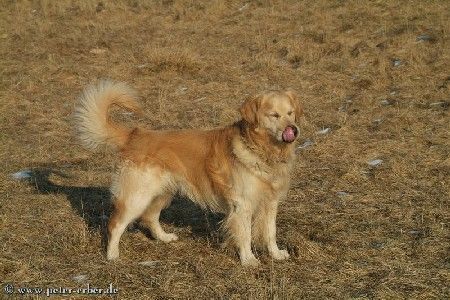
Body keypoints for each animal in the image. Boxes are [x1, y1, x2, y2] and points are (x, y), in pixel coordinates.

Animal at [74, 80, 302, 264]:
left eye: (290, 113)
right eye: (274, 115)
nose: (293, 130)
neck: (262, 149)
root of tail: (134, 135)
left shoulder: (271, 201)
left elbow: (270, 232)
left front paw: (276, 254)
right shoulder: (242, 204)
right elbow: (245, 235)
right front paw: (248, 260)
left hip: (162, 192)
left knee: (150, 217)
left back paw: (164, 237)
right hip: (137, 196)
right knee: (116, 224)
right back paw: (112, 255)